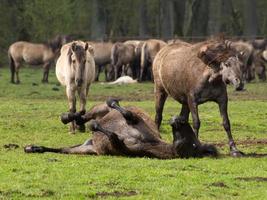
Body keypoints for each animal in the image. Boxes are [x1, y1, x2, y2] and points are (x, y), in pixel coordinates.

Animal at [24, 99, 219, 159]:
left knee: (66, 148)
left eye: (195, 145)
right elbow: (125, 112)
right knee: (83, 115)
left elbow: (112, 136)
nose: (179, 119)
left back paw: (34, 148)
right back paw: (66, 117)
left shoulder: (118, 147)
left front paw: (95, 127)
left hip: (87, 148)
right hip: (100, 112)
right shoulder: (135, 120)